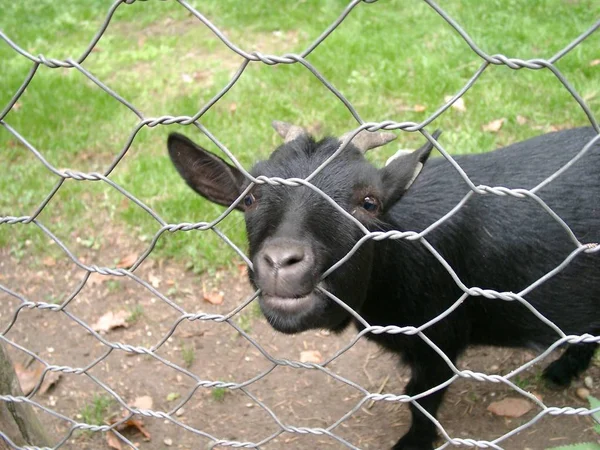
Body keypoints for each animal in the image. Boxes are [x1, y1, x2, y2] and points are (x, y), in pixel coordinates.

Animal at [168, 124, 600, 450]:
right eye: (251, 198)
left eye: (369, 202)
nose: (281, 262)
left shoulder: (441, 336)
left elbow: (421, 396)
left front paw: (413, 444)